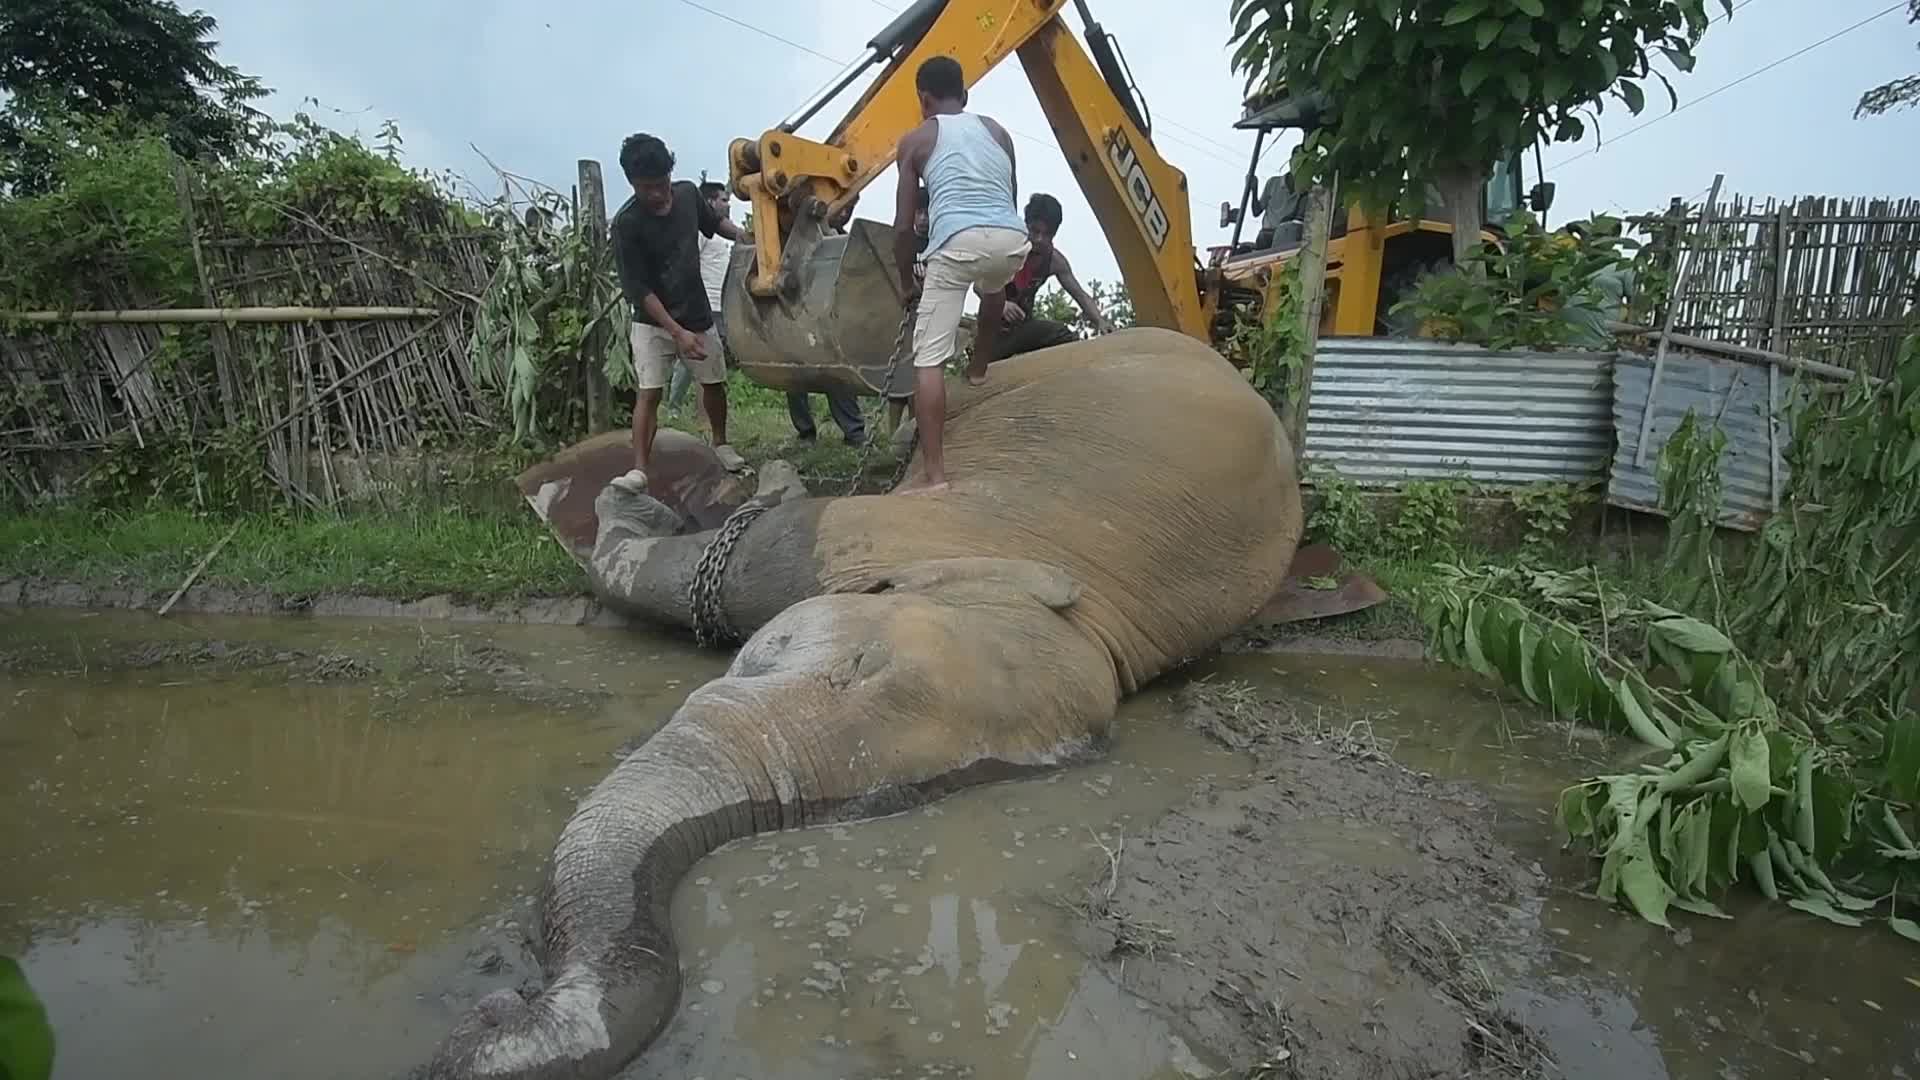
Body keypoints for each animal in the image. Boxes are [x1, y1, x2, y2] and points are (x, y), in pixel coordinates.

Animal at [421, 327, 1304, 1080]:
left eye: (888, 799)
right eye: (857, 665)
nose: (500, 1010)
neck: (1089, 617)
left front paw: (646, 499)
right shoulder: (876, 535)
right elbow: (736, 561)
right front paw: (643, 495)